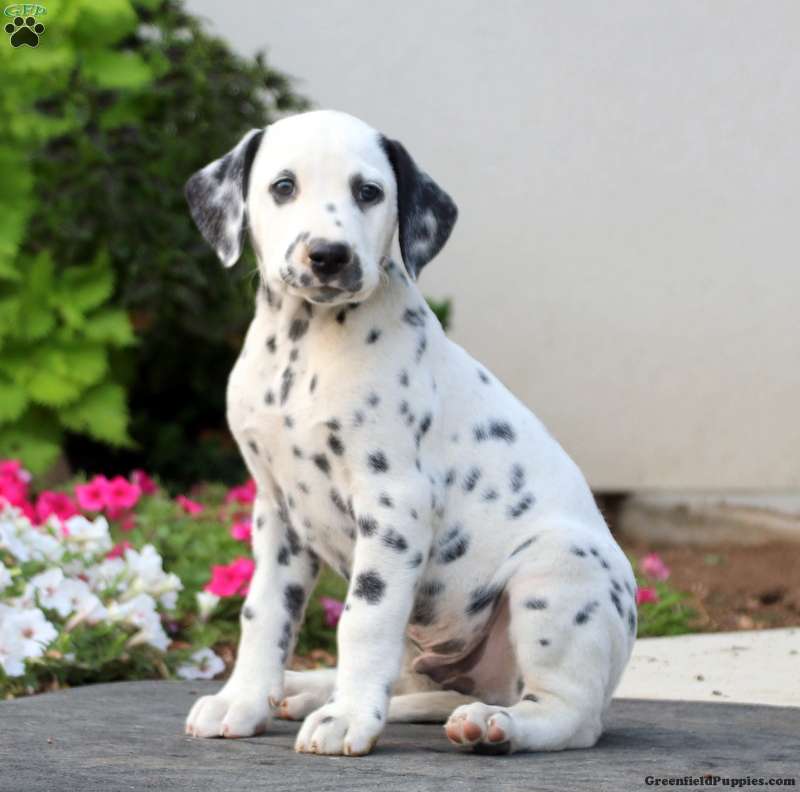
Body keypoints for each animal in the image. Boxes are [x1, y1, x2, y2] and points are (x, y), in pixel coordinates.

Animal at [183, 111, 636, 756]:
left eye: (369, 192)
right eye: (283, 187)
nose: (329, 254)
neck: (303, 347)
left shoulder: (393, 506)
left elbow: (362, 619)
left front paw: (348, 719)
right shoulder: (277, 514)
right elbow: (264, 615)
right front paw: (242, 701)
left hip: (557, 571)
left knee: (566, 714)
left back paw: (493, 725)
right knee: (419, 687)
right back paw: (307, 690)